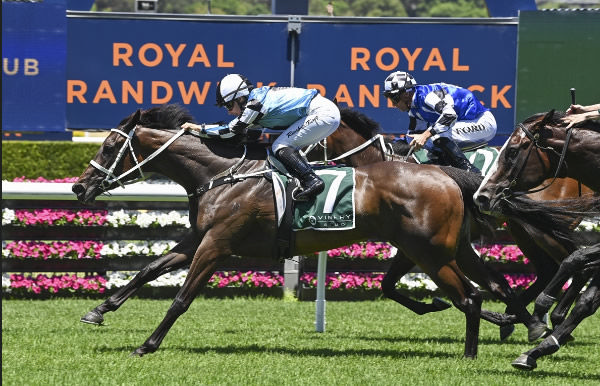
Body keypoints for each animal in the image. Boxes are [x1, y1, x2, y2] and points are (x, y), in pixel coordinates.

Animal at [71, 104, 564, 358]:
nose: (79, 186)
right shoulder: (199, 238)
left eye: (111, 145)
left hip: (430, 250)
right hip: (449, 248)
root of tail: (445, 175)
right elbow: (147, 270)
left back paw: (481, 346)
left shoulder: (217, 245)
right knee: (494, 285)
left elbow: (181, 297)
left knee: (476, 293)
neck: (223, 174)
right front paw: (99, 310)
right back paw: (519, 327)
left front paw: (148, 344)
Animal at [310, 107, 596, 340]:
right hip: (522, 229)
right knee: (549, 267)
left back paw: (550, 316)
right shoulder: (413, 242)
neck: (383, 165)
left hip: (539, 229)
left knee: (573, 260)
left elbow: (390, 285)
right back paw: (517, 317)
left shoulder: (415, 242)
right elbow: (388, 285)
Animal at [474, 110, 600, 370]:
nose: (481, 196)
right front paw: (539, 345)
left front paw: (543, 308)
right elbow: (586, 297)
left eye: (512, 151)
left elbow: (576, 258)